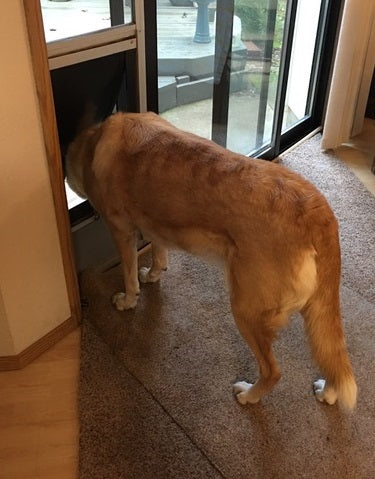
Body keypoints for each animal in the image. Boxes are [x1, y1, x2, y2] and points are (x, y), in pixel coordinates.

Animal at [67, 111, 358, 408]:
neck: (95, 139)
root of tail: (316, 212)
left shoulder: (121, 230)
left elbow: (128, 274)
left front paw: (127, 300)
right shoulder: (154, 223)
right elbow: (158, 250)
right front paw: (153, 273)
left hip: (246, 309)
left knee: (273, 371)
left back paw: (249, 395)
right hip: (314, 311)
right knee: (328, 353)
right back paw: (328, 391)